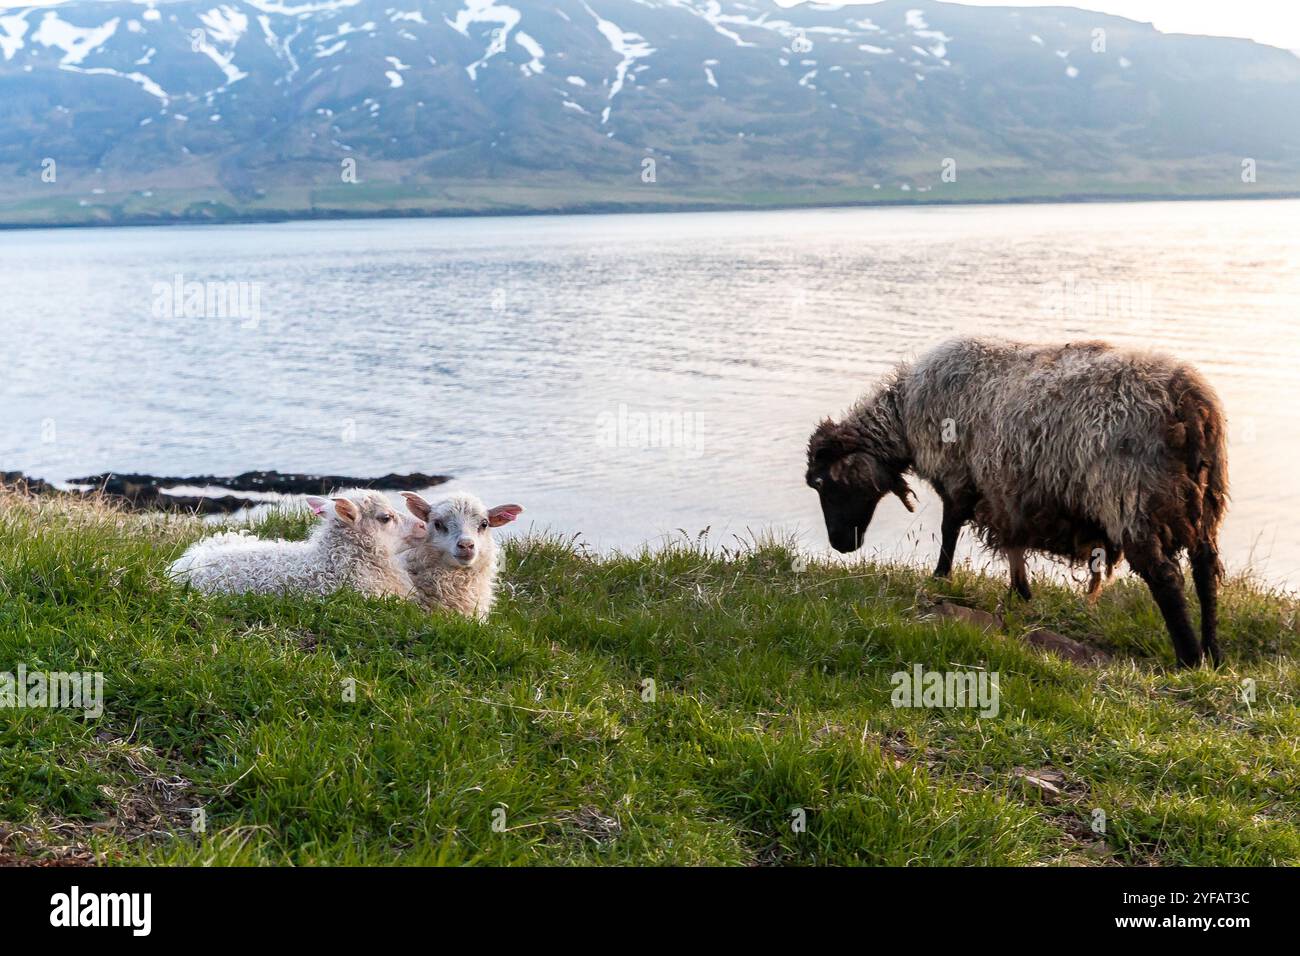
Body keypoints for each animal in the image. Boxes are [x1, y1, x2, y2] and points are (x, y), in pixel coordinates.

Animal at [806, 337, 1228, 667]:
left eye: (822, 482)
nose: (840, 545)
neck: (904, 416)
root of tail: (1190, 406)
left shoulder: (958, 475)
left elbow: (949, 528)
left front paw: (940, 578)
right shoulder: (1004, 490)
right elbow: (1012, 543)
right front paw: (1020, 592)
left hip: (1129, 498)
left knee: (1166, 577)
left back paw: (1188, 658)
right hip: (1205, 502)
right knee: (1205, 571)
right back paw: (1213, 653)